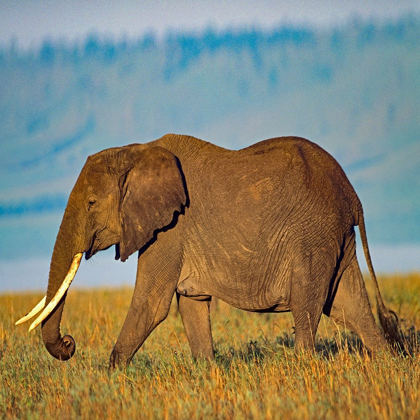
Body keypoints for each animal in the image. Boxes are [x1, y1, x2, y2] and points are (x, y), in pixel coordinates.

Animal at [15, 133, 404, 366]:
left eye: (92, 203)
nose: (69, 343)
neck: (136, 151)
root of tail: (352, 196)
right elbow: (191, 303)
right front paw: (205, 371)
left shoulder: (171, 229)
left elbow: (151, 305)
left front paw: (110, 378)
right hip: (334, 237)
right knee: (350, 307)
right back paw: (388, 363)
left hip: (311, 236)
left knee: (308, 307)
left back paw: (304, 368)